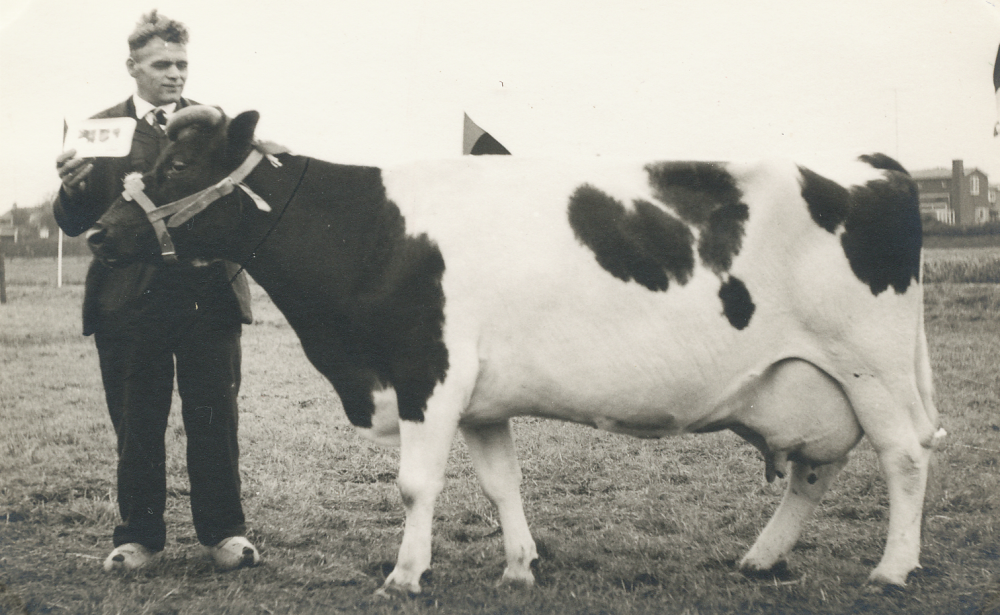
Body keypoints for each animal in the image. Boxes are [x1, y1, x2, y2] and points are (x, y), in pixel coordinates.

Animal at [86, 107, 944, 596]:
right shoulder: (479, 396)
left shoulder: (428, 371)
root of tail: (875, 163)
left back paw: (893, 568)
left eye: (175, 166)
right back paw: (761, 558)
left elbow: (415, 484)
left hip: (869, 363)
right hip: (808, 379)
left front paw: (405, 575)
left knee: (903, 455)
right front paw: (520, 565)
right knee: (814, 468)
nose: (97, 231)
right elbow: (502, 482)